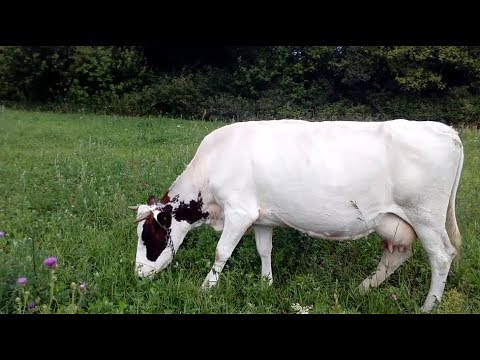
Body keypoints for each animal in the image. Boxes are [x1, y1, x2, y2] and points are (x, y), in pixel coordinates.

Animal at [129, 119, 464, 312]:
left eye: (149, 236)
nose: (138, 275)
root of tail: (447, 130)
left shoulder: (240, 211)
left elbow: (221, 251)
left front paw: (205, 290)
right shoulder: (261, 216)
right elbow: (264, 250)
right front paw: (266, 285)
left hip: (426, 216)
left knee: (442, 256)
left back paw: (428, 307)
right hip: (394, 221)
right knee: (397, 253)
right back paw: (361, 290)